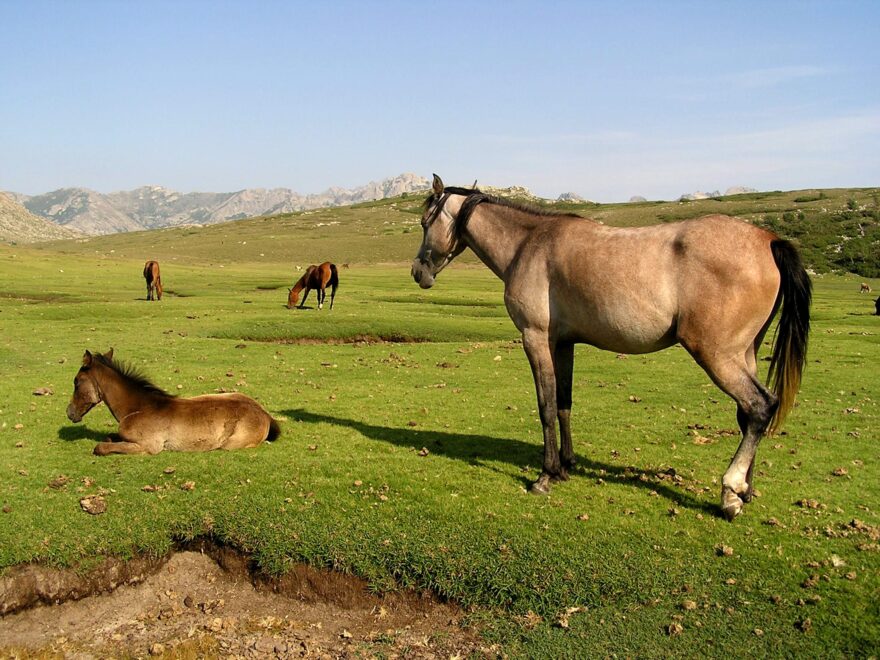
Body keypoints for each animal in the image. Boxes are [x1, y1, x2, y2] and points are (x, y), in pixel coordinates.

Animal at [67, 350, 280, 454]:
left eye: (76, 382)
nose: (69, 412)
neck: (139, 408)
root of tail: (265, 414)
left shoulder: (149, 446)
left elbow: (101, 447)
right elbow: (109, 437)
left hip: (230, 444)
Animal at [412, 175, 812, 520]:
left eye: (423, 221)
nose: (418, 272)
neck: (529, 243)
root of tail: (768, 240)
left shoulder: (535, 338)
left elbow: (545, 406)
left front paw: (545, 475)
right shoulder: (563, 343)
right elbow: (564, 403)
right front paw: (566, 466)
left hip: (717, 355)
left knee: (760, 406)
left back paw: (730, 490)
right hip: (745, 354)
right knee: (748, 416)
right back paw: (744, 489)